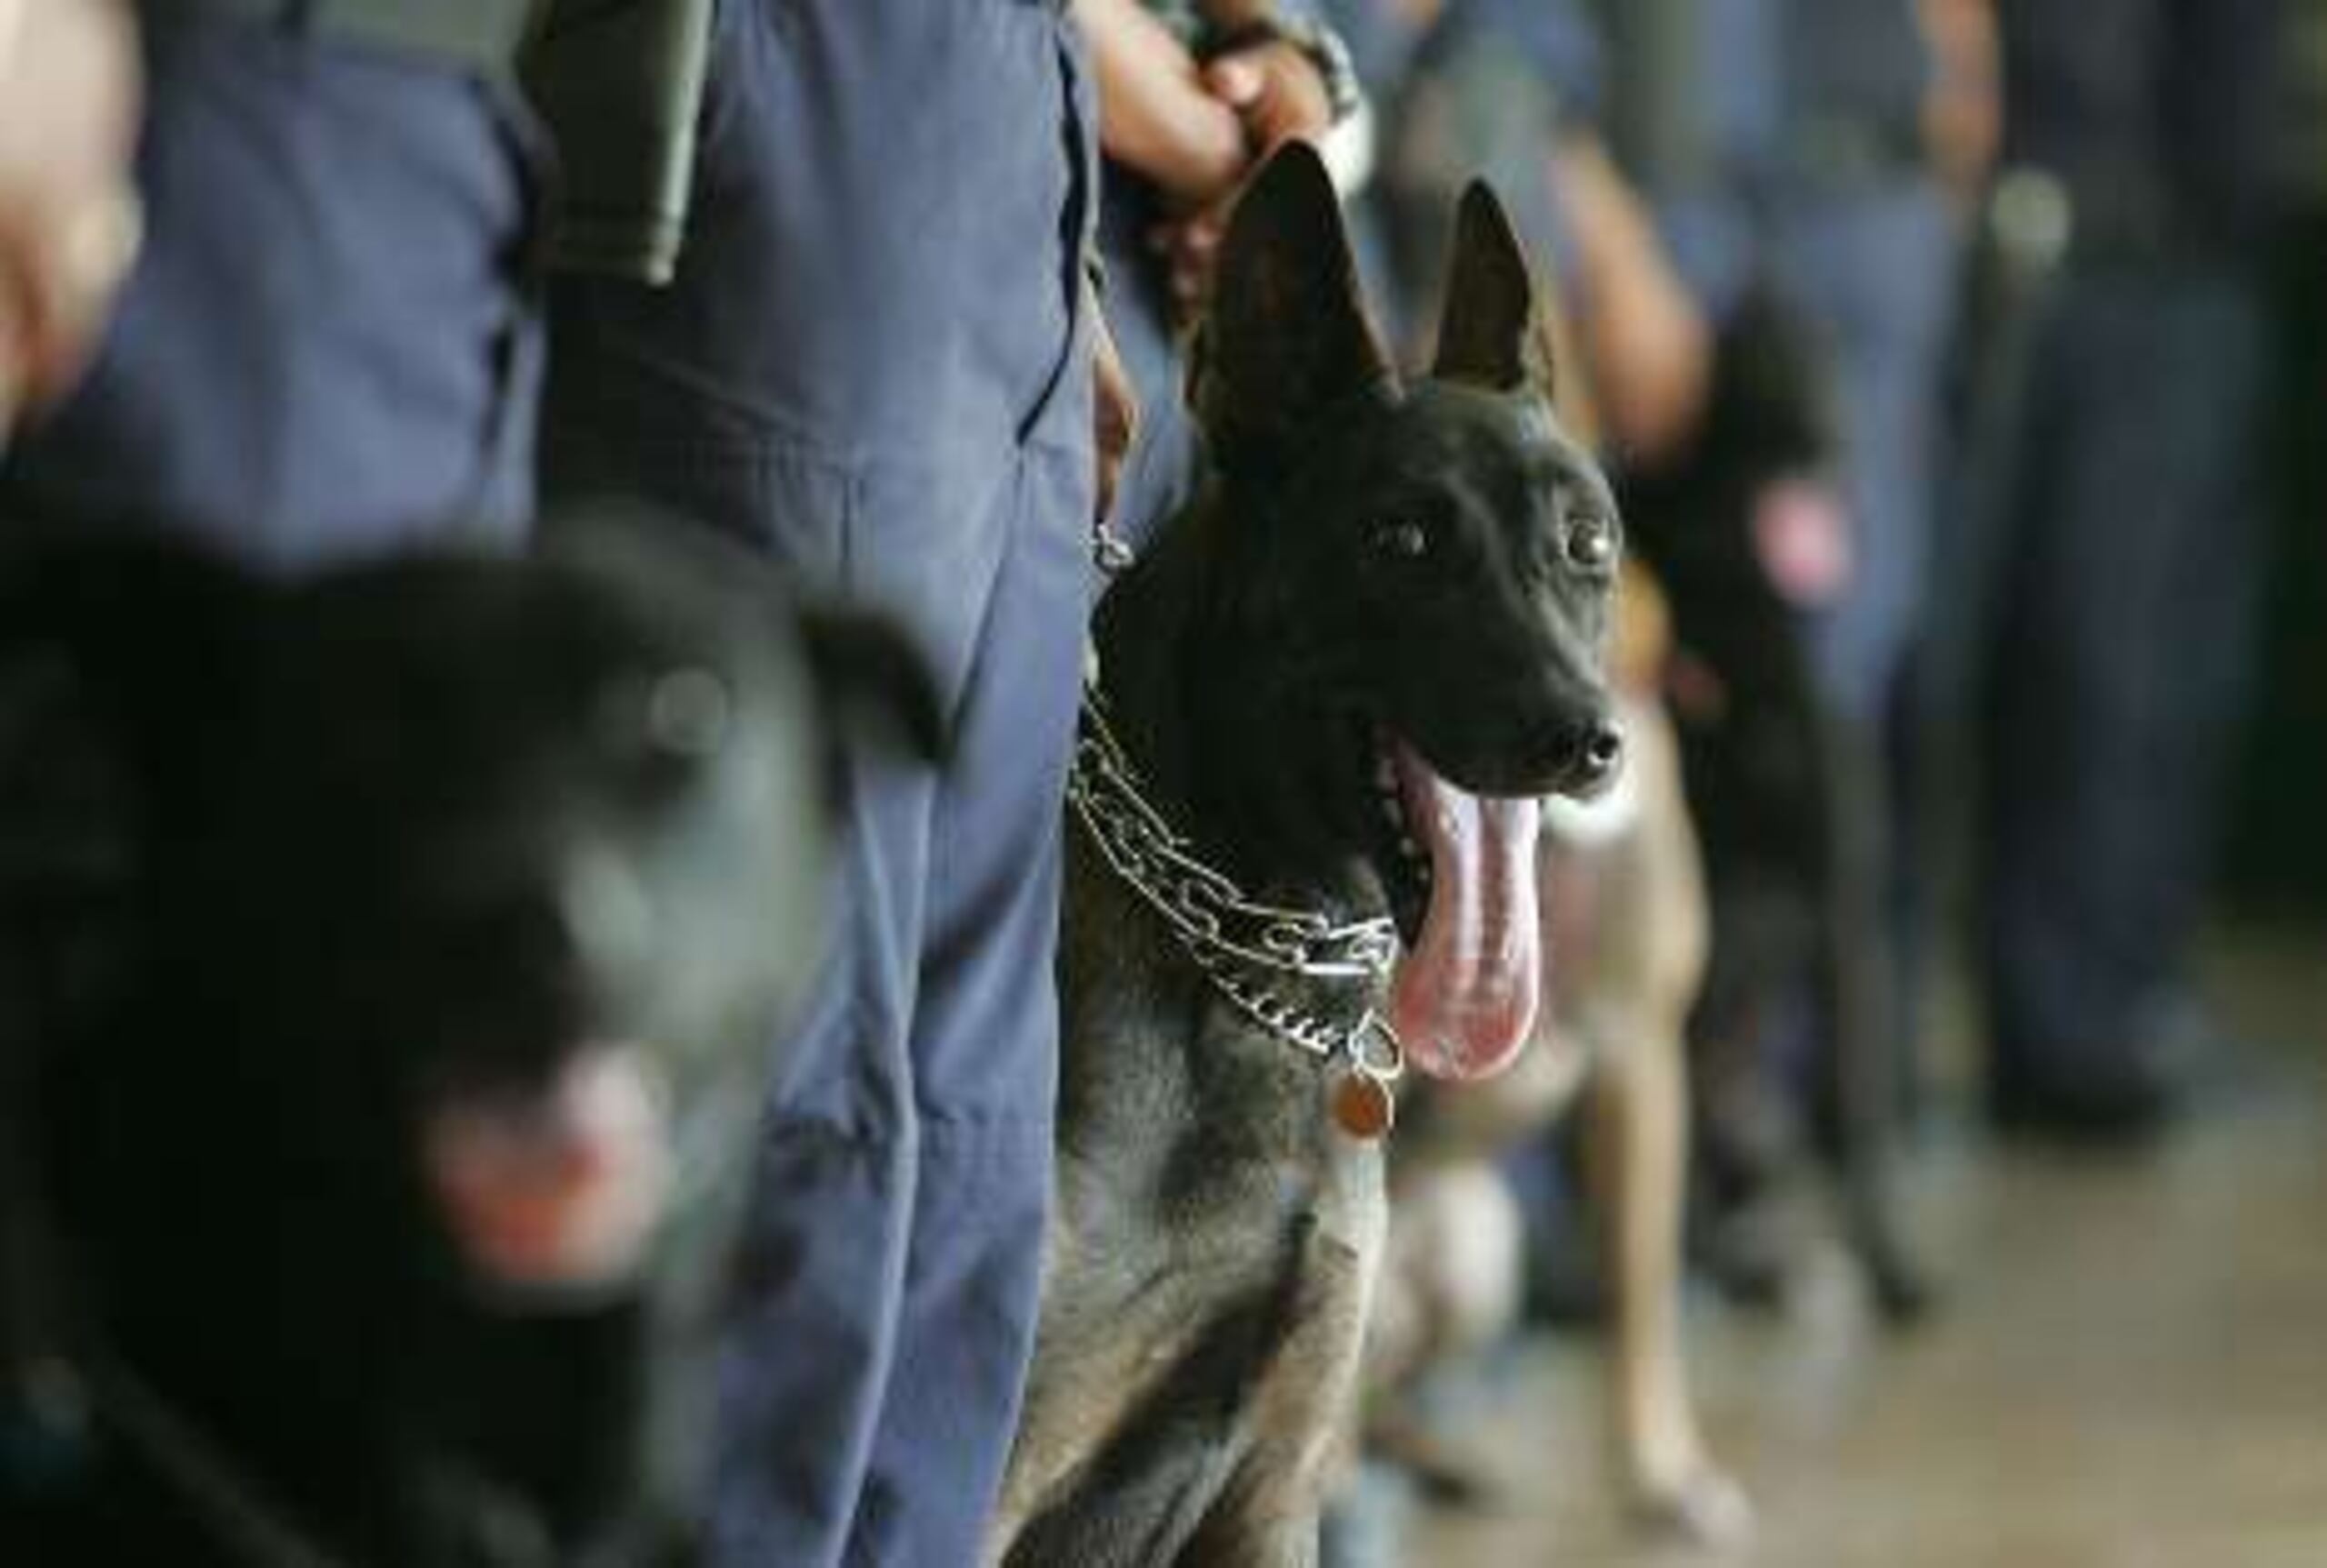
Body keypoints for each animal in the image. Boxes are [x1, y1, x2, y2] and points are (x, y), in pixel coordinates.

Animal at [1619, 293, 1926, 1321]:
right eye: (1759, 370)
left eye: (1826, 363)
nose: (1829, 435)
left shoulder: (1843, 911)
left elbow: (1864, 1112)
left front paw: (1894, 1263)